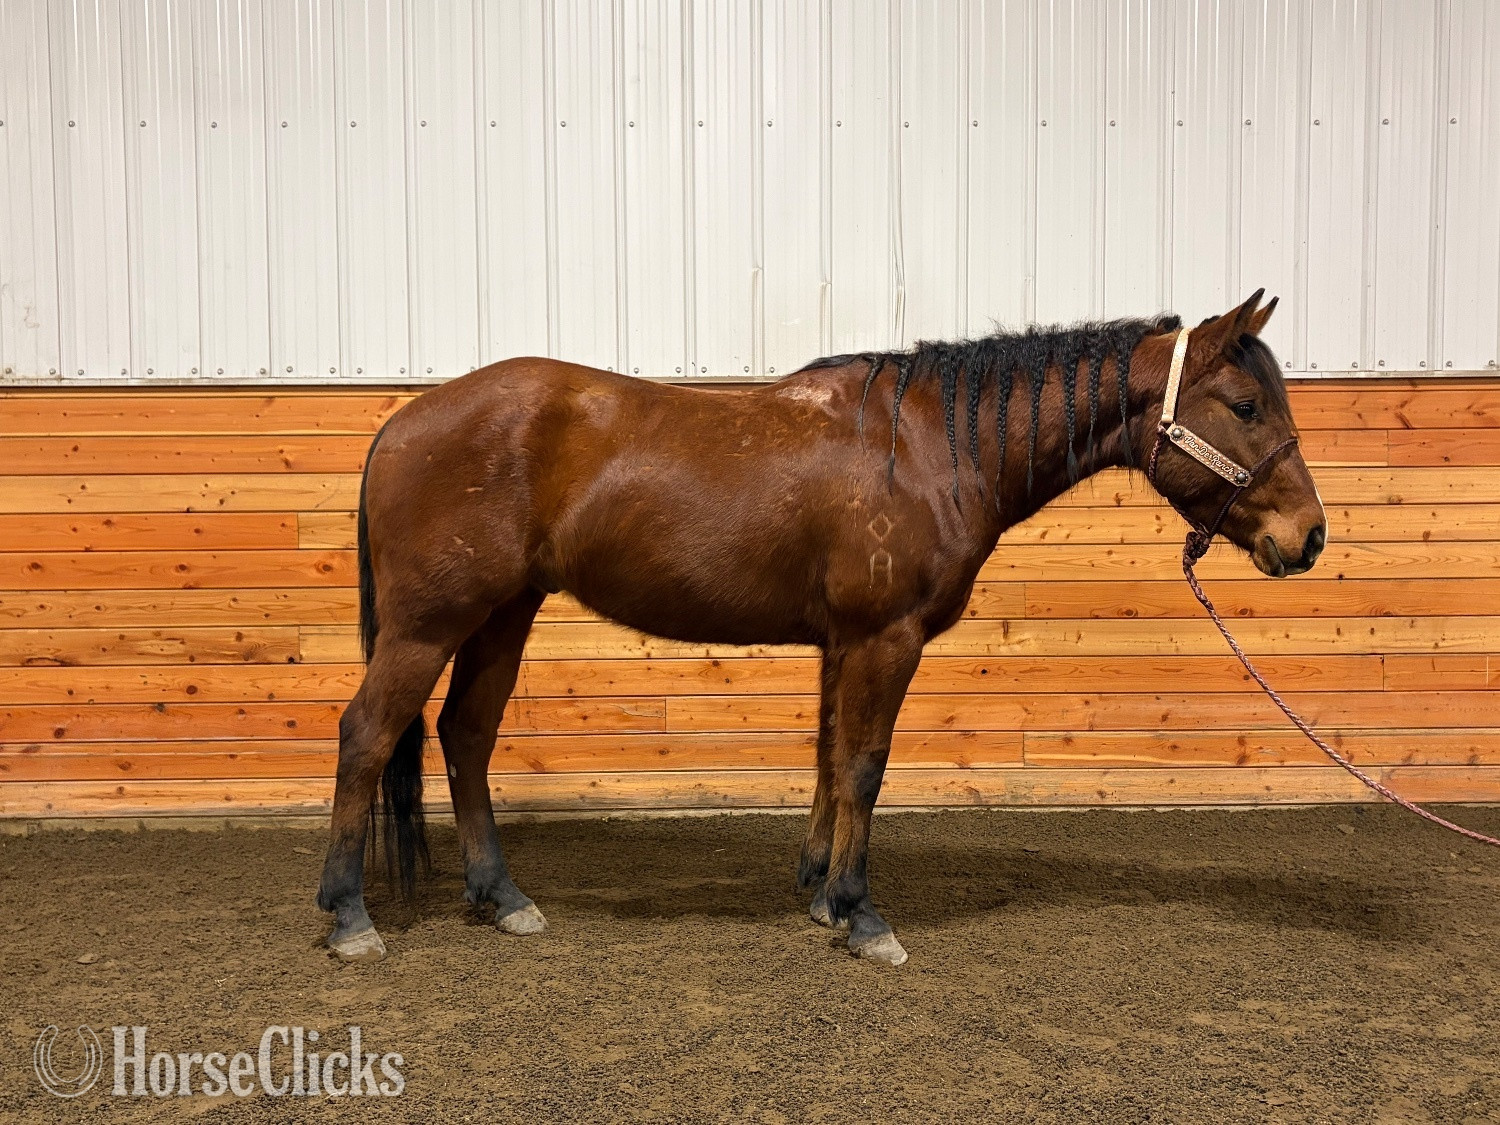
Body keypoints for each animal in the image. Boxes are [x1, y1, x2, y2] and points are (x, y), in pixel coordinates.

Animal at [316, 291, 1326, 966]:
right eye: (1244, 406)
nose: (1308, 536)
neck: (930, 444)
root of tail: (401, 423)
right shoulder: (885, 637)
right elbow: (866, 767)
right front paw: (861, 911)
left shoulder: (843, 643)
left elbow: (830, 759)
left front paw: (819, 895)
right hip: (429, 624)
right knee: (367, 734)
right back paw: (348, 915)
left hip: (502, 614)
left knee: (465, 736)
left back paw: (501, 897)